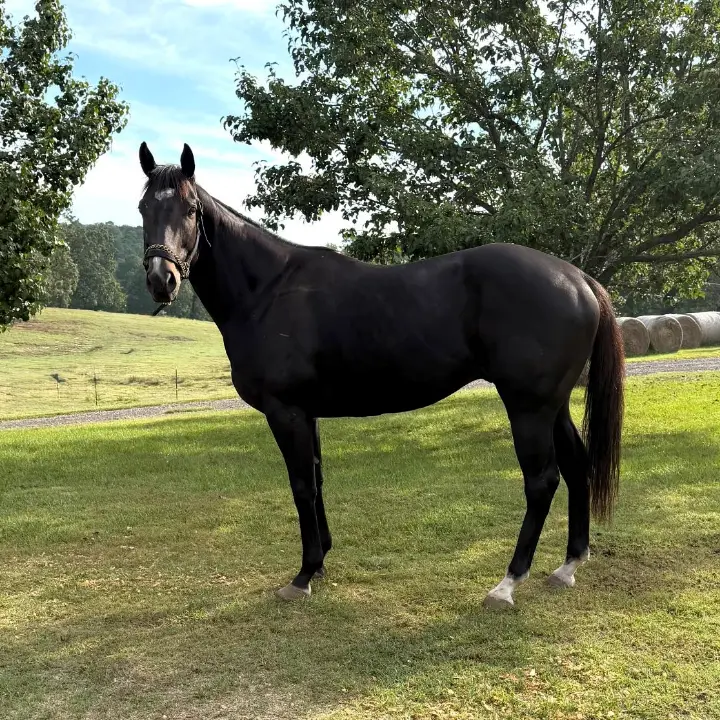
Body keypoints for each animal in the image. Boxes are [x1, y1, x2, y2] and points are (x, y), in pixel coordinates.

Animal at [137, 142, 624, 609]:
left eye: (191, 209)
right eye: (143, 208)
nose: (163, 280)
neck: (269, 290)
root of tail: (578, 277)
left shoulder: (286, 412)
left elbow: (300, 486)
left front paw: (302, 576)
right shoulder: (307, 413)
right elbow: (316, 479)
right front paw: (320, 562)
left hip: (528, 407)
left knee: (542, 481)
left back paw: (507, 583)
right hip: (552, 405)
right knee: (576, 465)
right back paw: (568, 565)